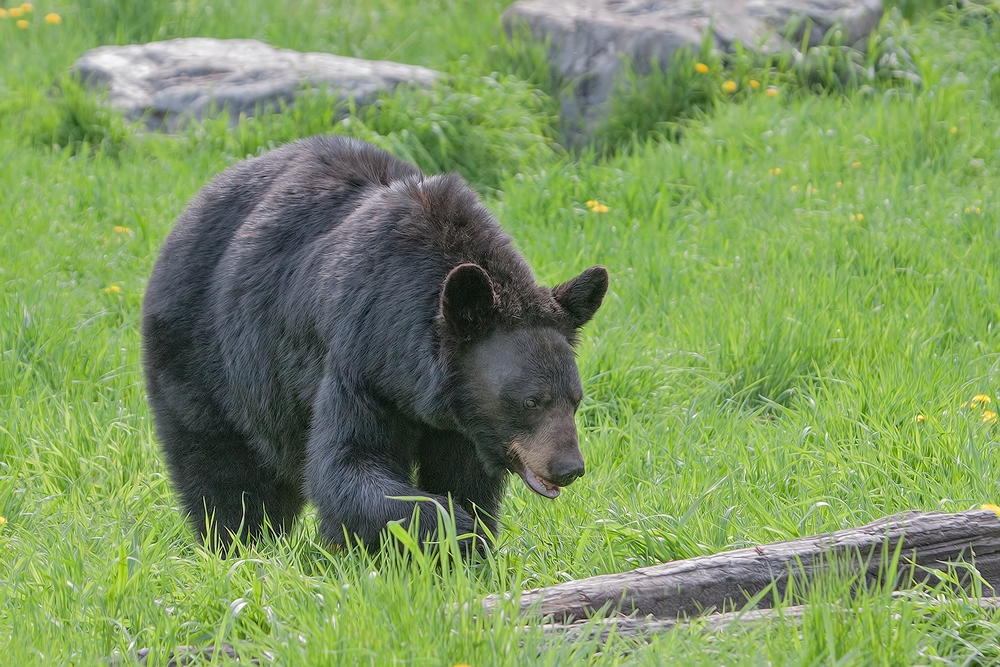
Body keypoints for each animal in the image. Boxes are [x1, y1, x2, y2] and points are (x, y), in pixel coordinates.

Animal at [143, 136, 608, 552]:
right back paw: (238, 543)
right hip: (203, 351)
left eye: (576, 399)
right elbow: (347, 461)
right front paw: (451, 530)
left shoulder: (464, 421)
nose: (569, 467)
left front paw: (471, 539)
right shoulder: (360, 358)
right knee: (221, 468)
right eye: (531, 401)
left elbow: (466, 478)